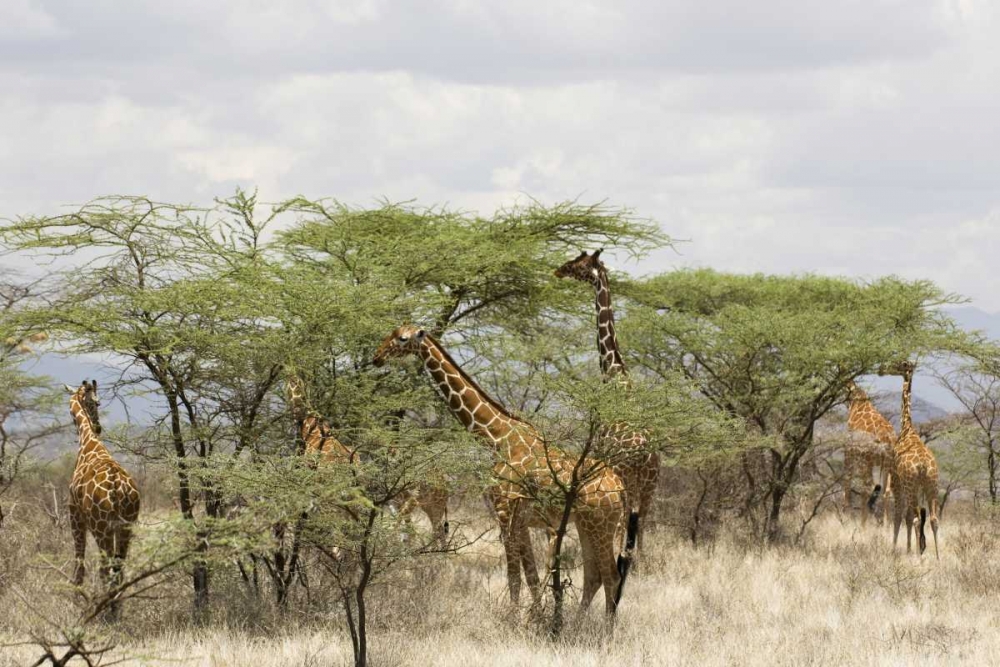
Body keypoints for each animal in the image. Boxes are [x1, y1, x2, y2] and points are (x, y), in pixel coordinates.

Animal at [65, 380, 141, 619]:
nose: (98, 427)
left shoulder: (75, 515)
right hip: (126, 526)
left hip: (101, 527)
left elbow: (79, 562)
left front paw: (74, 601)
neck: (89, 443)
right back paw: (115, 610)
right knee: (118, 566)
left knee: (105, 567)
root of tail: (118, 486)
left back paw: (105, 610)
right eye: (96, 402)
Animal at [373, 325, 638, 614]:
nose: (377, 357)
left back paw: (602, 626)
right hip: (587, 524)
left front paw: (513, 617)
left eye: (402, 339)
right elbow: (530, 575)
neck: (496, 436)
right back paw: (579, 622)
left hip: (600, 524)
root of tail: (621, 488)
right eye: (391, 332)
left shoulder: (504, 509)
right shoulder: (521, 520)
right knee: (595, 575)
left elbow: (514, 575)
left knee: (611, 576)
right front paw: (534, 615)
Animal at [555, 249, 659, 558]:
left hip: (628, 478)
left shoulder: (602, 458)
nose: (558, 270)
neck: (615, 374)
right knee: (642, 526)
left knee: (626, 521)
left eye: (578, 263)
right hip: (650, 485)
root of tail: (645, 455)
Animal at [843, 380, 896, 526]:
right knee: (886, 491)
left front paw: (846, 516)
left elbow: (847, 480)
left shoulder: (849, 451)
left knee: (866, 488)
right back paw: (886, 525)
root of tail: (887, 438)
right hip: (888, 463)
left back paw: (863, 524)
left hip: (867, 460)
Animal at [888, 361, 940, 558]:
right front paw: (910, 549)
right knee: (933, 519)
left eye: (898, 365)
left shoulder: (896, 479)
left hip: (910, 485)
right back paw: (938, 558)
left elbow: (899, 516)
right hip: (931, 484)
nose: (882, 369)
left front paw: (895, 549)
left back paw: (918, 557)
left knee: (916, 517)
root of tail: (924, 465)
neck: (907, 427)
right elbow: (908, 517)